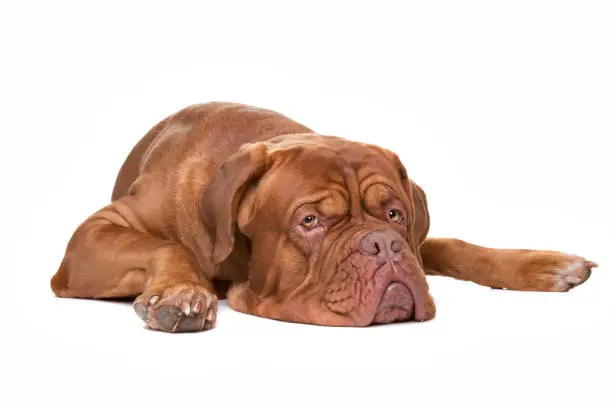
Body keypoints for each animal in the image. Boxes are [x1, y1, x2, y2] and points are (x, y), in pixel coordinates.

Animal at [49, 102, 596, 332]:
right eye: (309, 222)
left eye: (394, 214)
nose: (383, 244)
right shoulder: (89, 240)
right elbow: (168, 245)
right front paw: (184, 294)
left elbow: (449, 245)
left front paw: (546, 265)